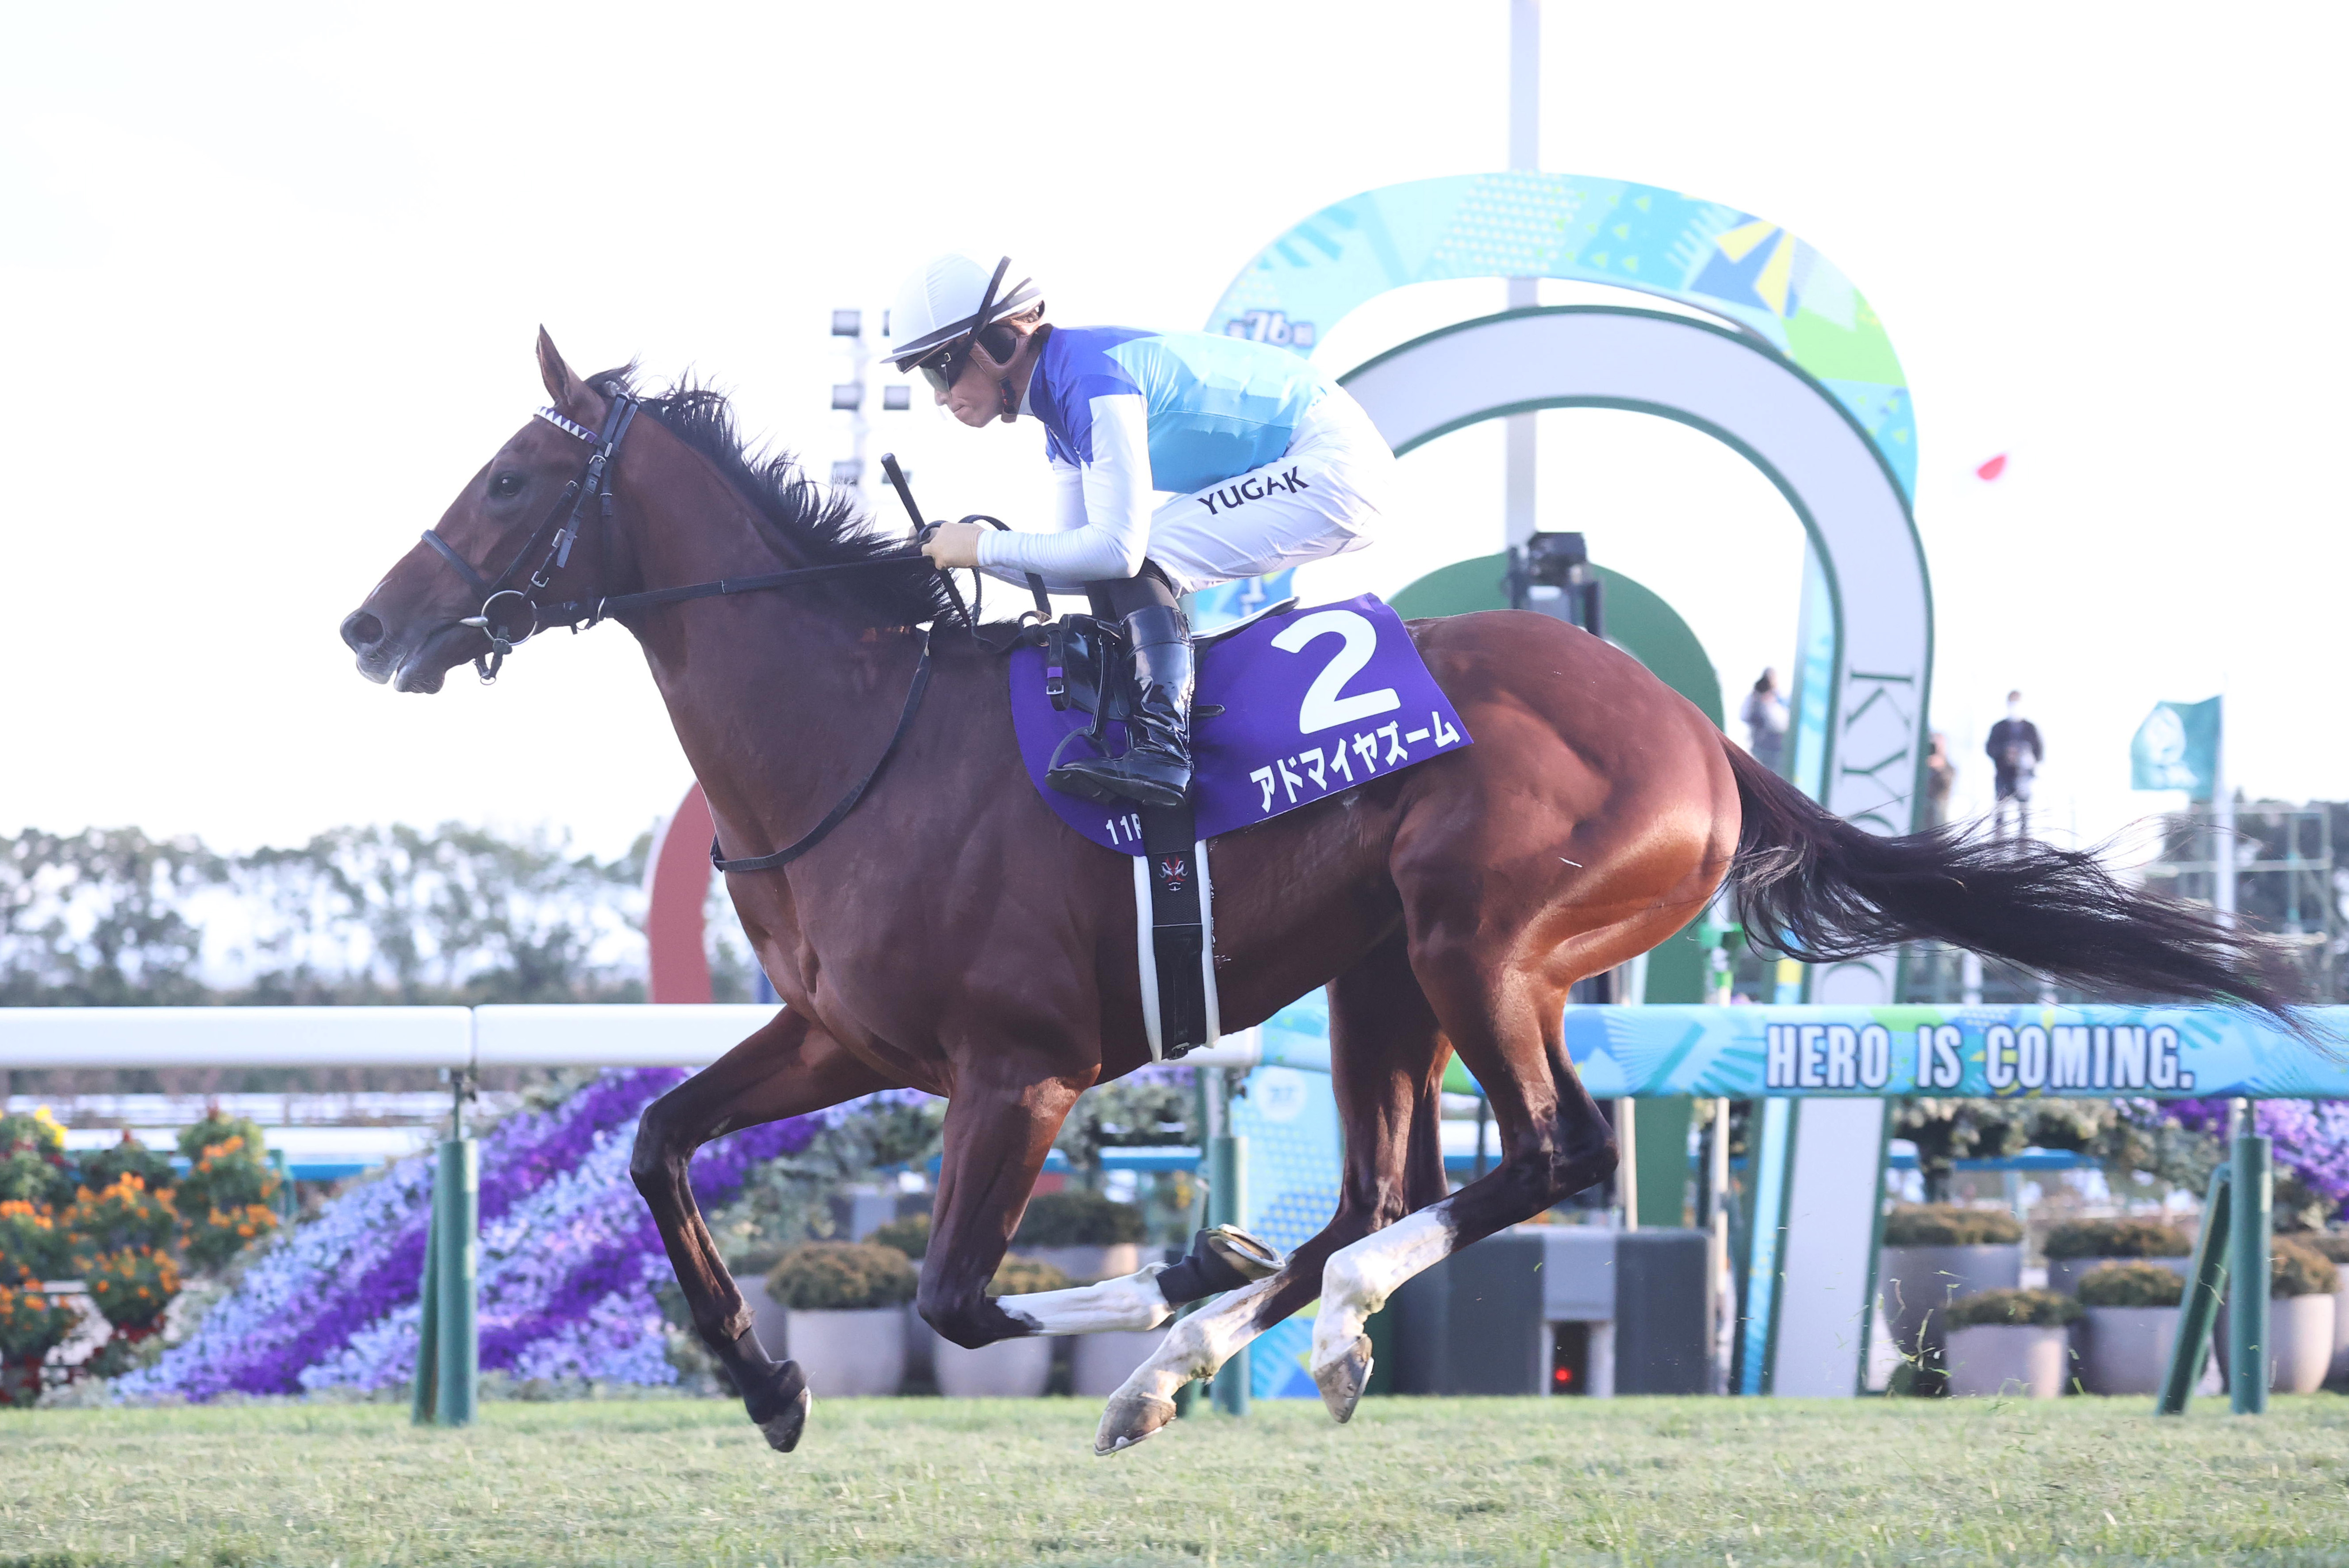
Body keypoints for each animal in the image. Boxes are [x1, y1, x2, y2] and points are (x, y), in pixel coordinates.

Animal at [341, 332, 2292, 1455]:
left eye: (511, 478)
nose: (367, 624)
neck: (858, 733)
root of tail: (1700, 736)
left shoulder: (1017, 1071)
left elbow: (962, 1296)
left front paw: (1172, 1273)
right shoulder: (846, 1036)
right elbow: (658, 1140)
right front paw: (764, 1379)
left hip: (1481, 939)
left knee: (1546, 1157)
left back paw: (1265, 1324)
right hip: (1384, 979)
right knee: (1384, 1187)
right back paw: (1236, 1345)